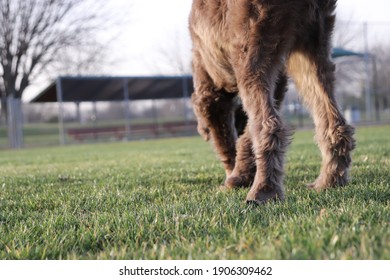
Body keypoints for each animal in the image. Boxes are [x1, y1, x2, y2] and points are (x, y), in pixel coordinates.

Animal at [189, 1, 356, 205]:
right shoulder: (279, 83)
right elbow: (245, 135)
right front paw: (242, 175)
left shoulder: (211, 96)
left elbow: (227, 143)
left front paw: (234, 176)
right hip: (310, 50)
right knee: (334, 123)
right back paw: (329, 180)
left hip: (252, 52)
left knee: (269, 125)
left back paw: (263, 192)